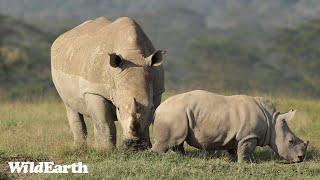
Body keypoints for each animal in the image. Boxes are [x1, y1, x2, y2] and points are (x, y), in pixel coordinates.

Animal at [50, 16, 165, 150]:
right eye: (118, 108)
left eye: (151, 107)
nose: (135, 146)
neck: (133, 55)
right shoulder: (94, 91)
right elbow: (104, 122)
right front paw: (105, 150)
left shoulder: (157, 90)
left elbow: (150, 119)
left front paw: (145, 148)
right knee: (71, 106)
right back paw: (79, 148)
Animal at [151, 90, 308, 162]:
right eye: (290, 141)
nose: (300, 158)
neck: (272, 122)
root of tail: (158, 109)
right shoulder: (249, 136)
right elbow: (246, 150)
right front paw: (246, 163)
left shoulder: (237, 135)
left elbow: (233, 149)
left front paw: (231, 160)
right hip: (172, 114)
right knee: (168, 141)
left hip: (178, 114)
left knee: (177, 141)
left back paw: (183, 158)